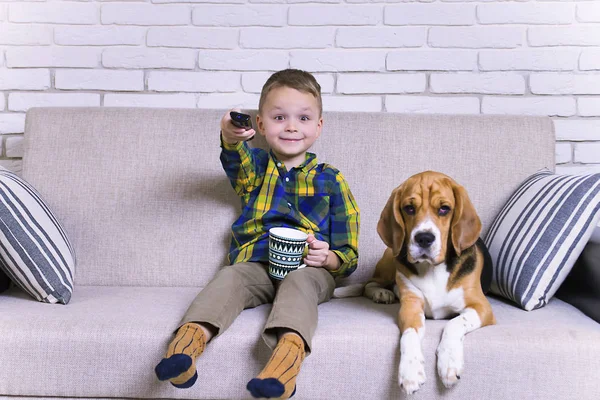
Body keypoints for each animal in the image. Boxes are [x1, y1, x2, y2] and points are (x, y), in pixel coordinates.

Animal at [368, 170, 494, 396]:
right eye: (409, 208)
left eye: (444, 209)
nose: (424, 238)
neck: (432, 269)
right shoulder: (410, 306)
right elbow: (408, 335)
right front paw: (410, 371)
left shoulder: (482, 307)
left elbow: (454, 323)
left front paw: (449, 363)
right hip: (391, 255)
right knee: (370, 283)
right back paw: (382, 293)